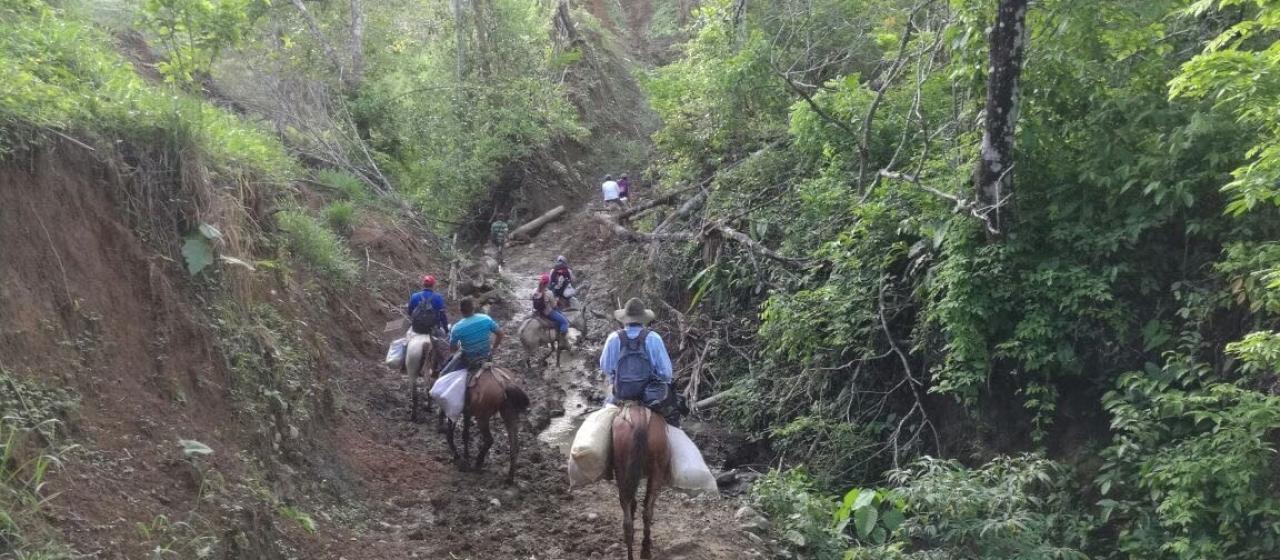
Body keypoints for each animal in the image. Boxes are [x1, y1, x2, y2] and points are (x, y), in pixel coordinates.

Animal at [614, 401, 675, 557]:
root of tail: (641, 419)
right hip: (657, 471)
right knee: (647, 510)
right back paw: (645, 549)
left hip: (622, 470)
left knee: (628, 511)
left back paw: (632, 550)